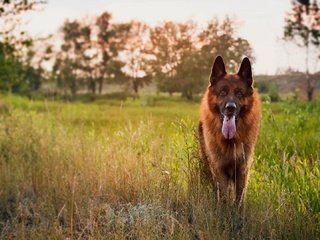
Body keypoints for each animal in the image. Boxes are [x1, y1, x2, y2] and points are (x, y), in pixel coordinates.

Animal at [199, 55, 262, 208]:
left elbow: (239, 199)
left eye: (239, 94)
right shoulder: (219, 170)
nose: (230, 108)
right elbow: (223, 198)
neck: (230, 141)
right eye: (223, 92)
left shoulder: (242, 171)